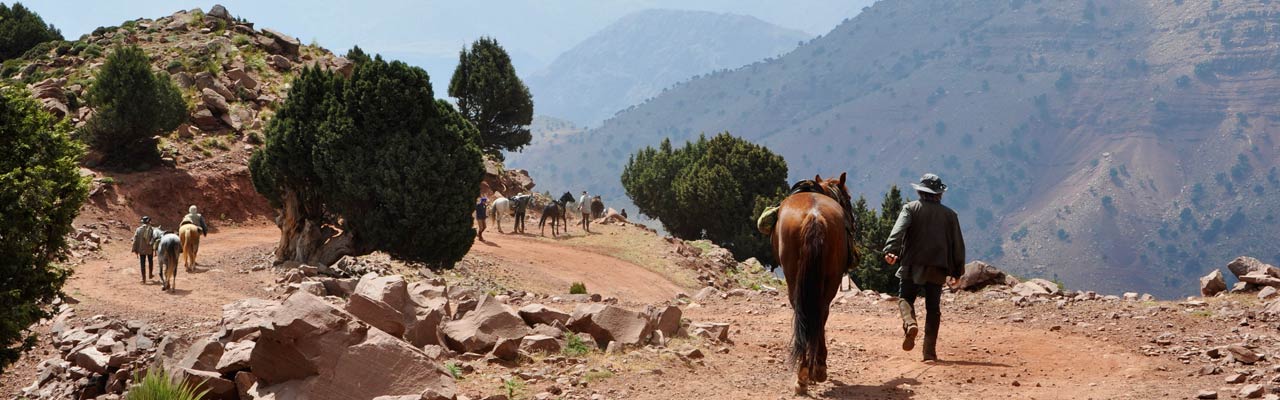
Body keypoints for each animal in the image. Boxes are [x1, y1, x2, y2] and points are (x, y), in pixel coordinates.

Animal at [768, 171, 849, 394]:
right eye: (848, 199)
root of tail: (814, 216)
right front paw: (818, 368)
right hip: (828, 281)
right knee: (818, 313)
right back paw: (812, 370)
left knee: (805, 313)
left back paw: (804, 373)